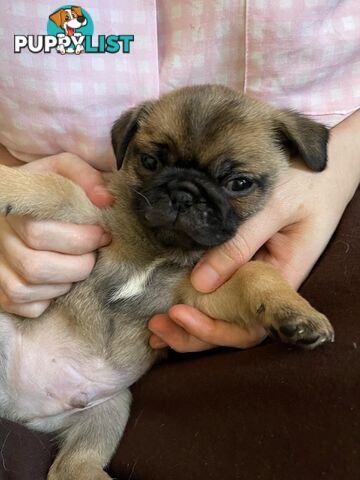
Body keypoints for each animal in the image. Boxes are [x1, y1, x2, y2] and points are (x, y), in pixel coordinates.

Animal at [0, 84, 334, 478]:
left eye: (238, 183)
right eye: (150, 162)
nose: (183, 193)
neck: (158, 249)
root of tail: (23, 413)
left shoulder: (198, 293)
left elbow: (254, 273)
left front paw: (293, 311)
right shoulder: (89, 215)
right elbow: (56, 187)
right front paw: (7, 182)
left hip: (109, 410)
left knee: (73, 467)